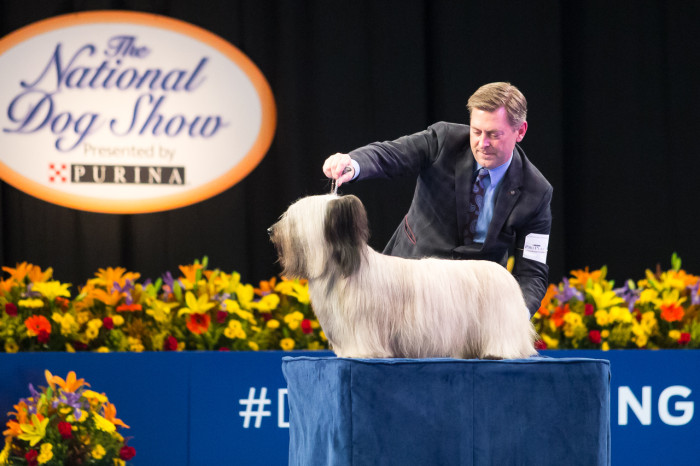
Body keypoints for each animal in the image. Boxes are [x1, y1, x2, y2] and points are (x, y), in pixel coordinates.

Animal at [268, 195, 536, 358]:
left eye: (293, 219)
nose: (270, 229)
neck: (344, 268)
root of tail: (504, 272)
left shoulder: (363, 322)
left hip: (500, 320)